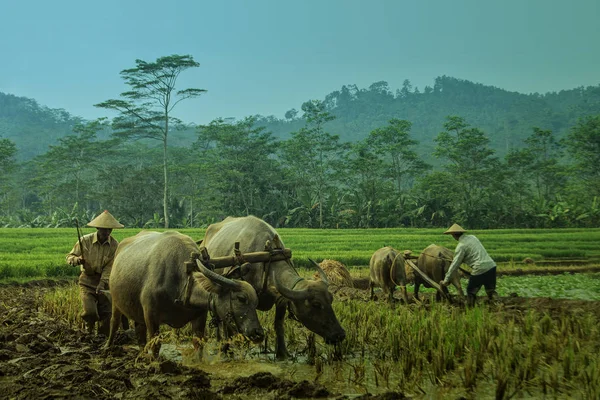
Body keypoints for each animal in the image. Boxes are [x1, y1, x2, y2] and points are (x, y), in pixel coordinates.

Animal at [106, 230, 264, 358]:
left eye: (256, 302)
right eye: (241, 298)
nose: (258, 333)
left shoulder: (200, 315)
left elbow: (198, 343)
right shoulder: (150, 315)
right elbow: (155, 345)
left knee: (139, 334)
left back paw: (142, 355)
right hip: (115, 302)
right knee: (114, 322)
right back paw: (108, 347)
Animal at [198, 216, 344, 360]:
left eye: (331, 300)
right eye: (316, 304)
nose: (340, 334)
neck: (265, 262)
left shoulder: (281, 300)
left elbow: (278, 325)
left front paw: (283, 353)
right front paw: (228, 351)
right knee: (220, 321)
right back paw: (220, 344)